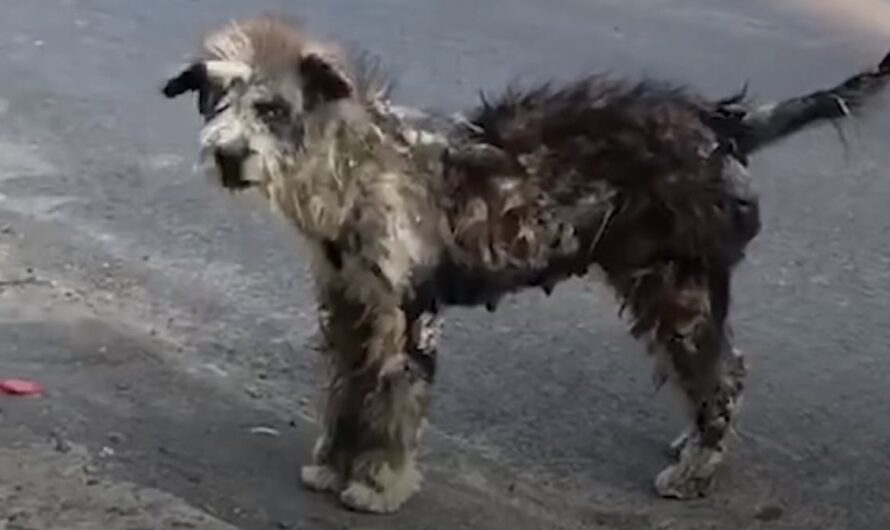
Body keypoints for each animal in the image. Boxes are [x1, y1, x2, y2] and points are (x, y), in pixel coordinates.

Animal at [161, 15, 888, 512]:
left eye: (272, 109)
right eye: (216, 100)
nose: (226, 155)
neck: (356, 168)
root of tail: (719, 125)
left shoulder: (410, 316)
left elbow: (393, 406)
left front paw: (378, 484)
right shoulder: (351, 310)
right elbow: (349, 395)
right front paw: (335, 466)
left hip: (677, 290)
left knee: (725, 374)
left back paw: (696, 469)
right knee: (714, 375)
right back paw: (694, 448)